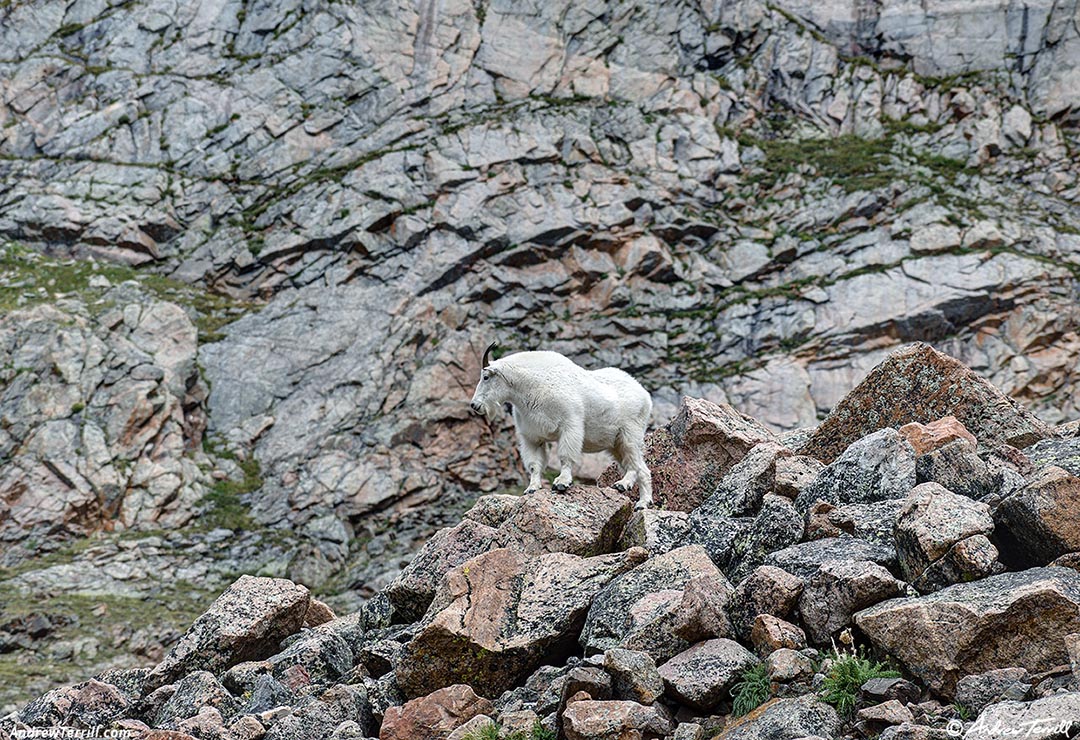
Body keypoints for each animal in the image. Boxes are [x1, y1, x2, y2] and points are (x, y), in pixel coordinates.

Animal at [468, 341, 652, 507]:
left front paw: (561, 483)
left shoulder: (570, 425)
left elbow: (565, 456)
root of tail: (645, 395)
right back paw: (634, 494)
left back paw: (634, 495)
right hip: (615, 443)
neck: (532, 384)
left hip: (630, 433)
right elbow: (534, 464)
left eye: (486, 377)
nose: (475, 405)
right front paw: (532, 488)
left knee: (638, 466)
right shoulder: (531, 437)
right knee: (634, 465)